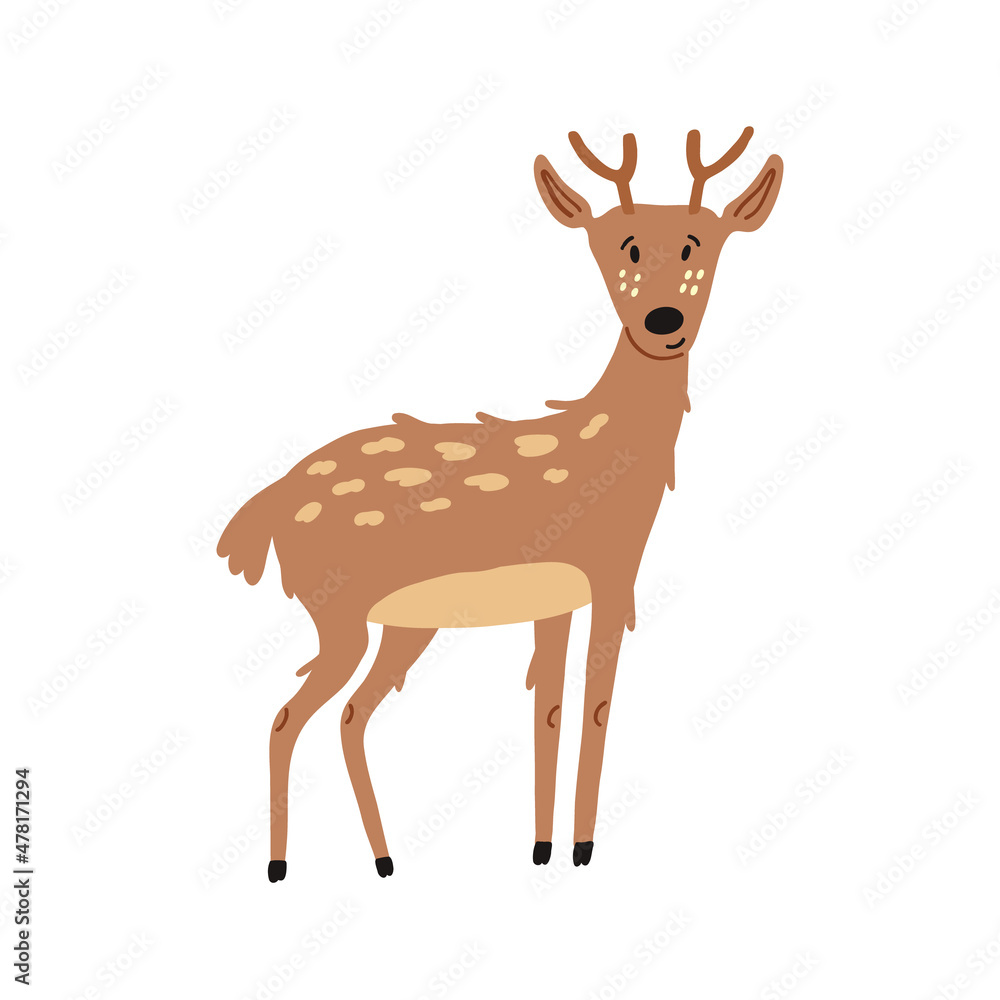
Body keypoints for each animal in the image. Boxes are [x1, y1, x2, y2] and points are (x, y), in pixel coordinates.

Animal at [218, 126, 783, 882]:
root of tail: (263, 509)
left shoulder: (557, 596)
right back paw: (282, 867)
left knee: (346, 716)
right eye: (622, 246)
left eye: (701, 243)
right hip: (337, 609)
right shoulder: (610, 574)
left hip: (400, 625)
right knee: (287, 716)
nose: (664, 320)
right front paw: (581, 850)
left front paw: (543, 850)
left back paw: (385, 860)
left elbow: (550, 710)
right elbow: (596, 707)